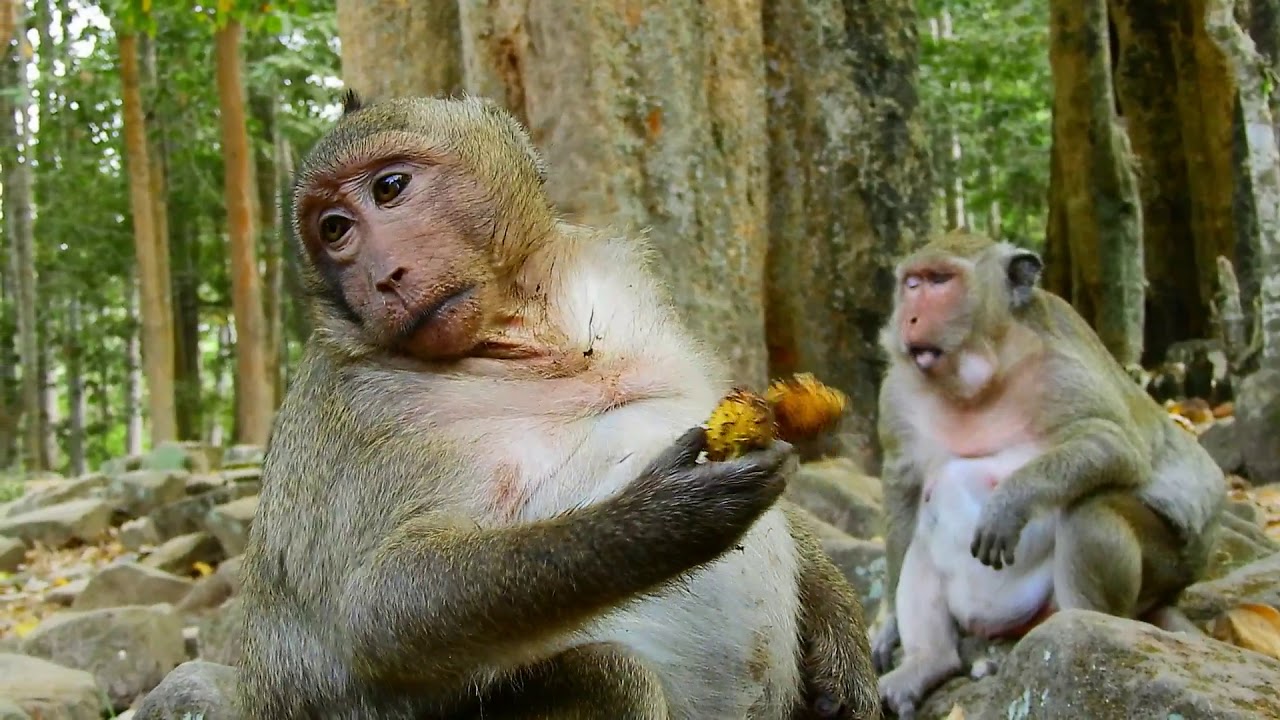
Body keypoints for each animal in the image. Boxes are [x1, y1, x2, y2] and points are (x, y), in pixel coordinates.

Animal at [236, 92, 879, 720]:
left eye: (389, 189)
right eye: (335, 229)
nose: (382, 278)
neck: (535, 338)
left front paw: (842, 635)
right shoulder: (362, 411)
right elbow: (378, 615)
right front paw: (663, 518)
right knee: (612, 676)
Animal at [868, 230, 1225, 720]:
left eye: (941, 281)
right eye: (912, 283)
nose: (911, 317)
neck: (977, 378)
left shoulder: (1059, 368)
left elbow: (1115, 444)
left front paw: (1011, 502)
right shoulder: (898, 396)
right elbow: (903, 490)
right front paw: (887, 627)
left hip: (1166, 568)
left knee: (1091, 509)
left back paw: (1075, 631)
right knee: (920, 543)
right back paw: (929, 661)